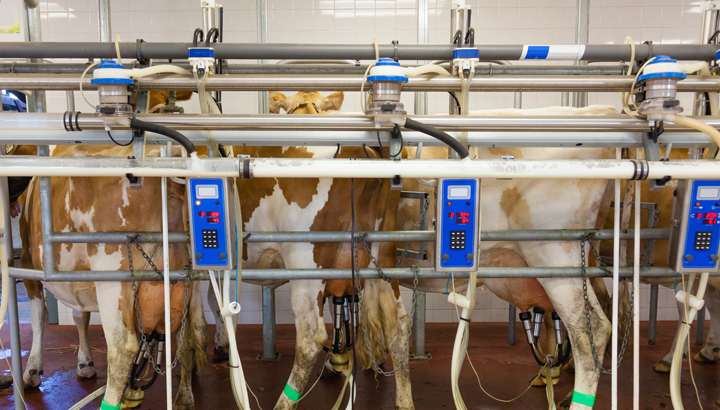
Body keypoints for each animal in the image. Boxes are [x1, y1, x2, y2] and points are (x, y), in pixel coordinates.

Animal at [19, 144, 208, 410]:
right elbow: (80, 316)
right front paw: (85, 364)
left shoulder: (29, 265)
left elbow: (39, 318)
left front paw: (32, 371)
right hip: (191, 279)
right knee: (191, 335)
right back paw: (184, 398)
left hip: (113, 278)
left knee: (122, 351)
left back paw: (110, 400)